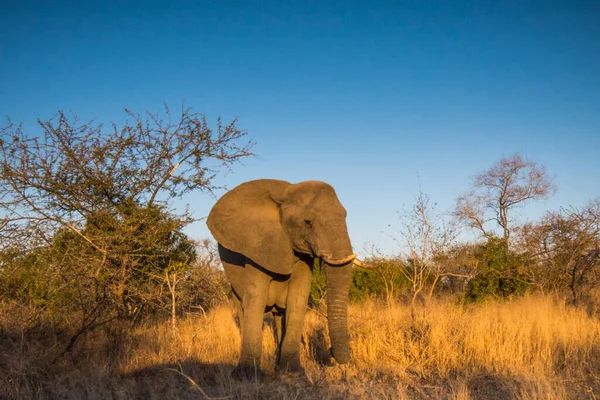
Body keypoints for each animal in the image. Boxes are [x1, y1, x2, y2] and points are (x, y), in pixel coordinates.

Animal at [206, 179, 366, 378]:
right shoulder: (257, 247)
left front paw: (293, 372)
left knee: (280, 313)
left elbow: (298, 299)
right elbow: (256, 299)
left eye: (345, 216)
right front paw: (249, 376)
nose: (329, 352)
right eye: (308, 222)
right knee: (242, 307)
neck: (287, 192)